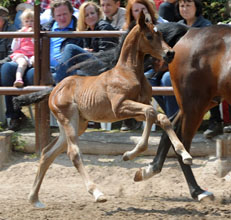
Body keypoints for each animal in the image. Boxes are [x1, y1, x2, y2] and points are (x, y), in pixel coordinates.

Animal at [14, 12, 193, 208]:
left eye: (161, 34)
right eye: (149, 36)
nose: (170, 53)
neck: (129, 72)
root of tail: (54, 88)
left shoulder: (136, 110)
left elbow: (161, 117)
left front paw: (184, 153)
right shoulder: (120, 107)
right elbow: (151, 113)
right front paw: (130, 154)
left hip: (77, 124)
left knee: (47, 153)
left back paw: (34, 198)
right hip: (69, 121)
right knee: (73, 153)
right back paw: (97, 193)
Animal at [134, 24, 231, 201]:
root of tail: (189, 31)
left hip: (201, 102)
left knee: (171, 127)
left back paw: (149, 170)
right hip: (195, 103)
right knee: (182, 141)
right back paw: (198, 191)